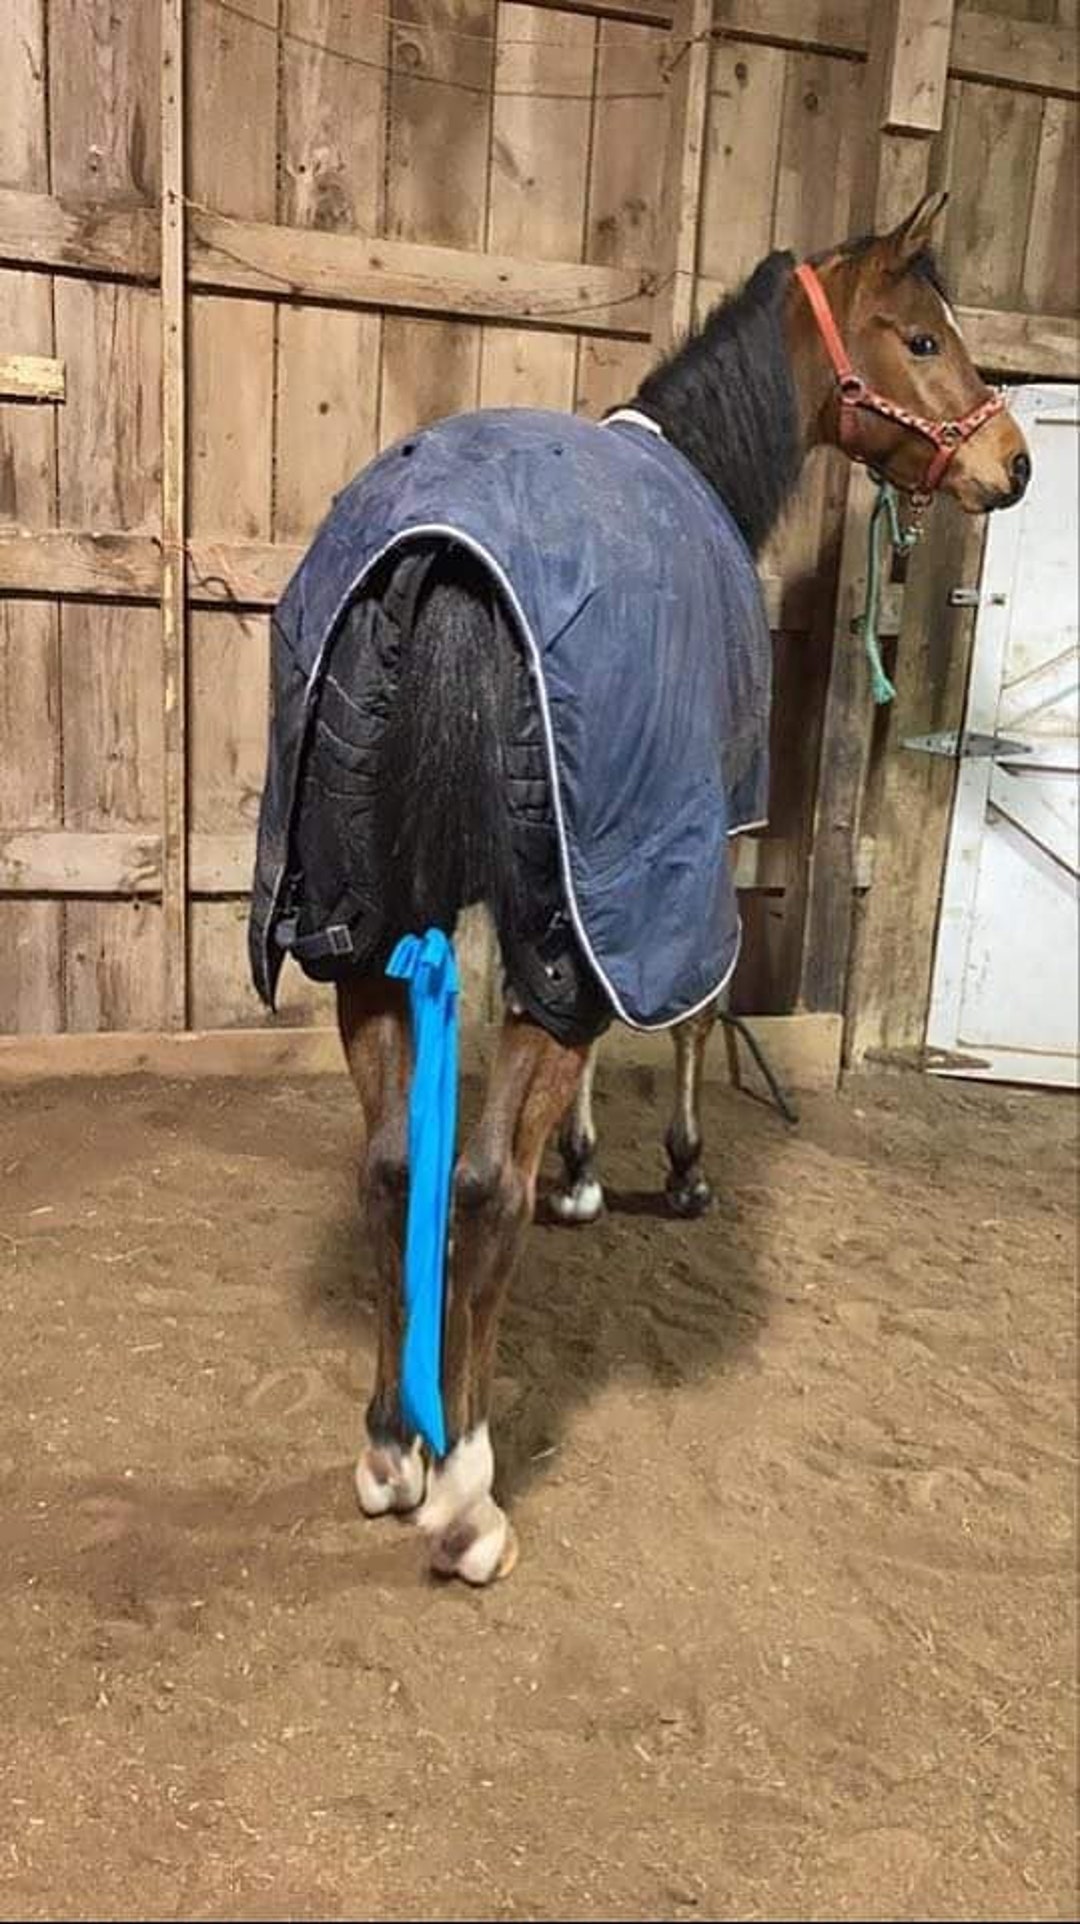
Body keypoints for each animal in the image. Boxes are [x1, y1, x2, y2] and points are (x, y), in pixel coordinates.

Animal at [250, 190, 1030, 1585]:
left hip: (355, 919)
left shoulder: (594, 899)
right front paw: (668, 1169)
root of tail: (439, 562)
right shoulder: (682, 849)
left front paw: (582, 1167)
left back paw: (393, 1449)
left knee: (394, 1165)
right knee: (476, 1186)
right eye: (925, 338)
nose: (1015, 463)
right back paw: (468, 1492)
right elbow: (693, 1019)